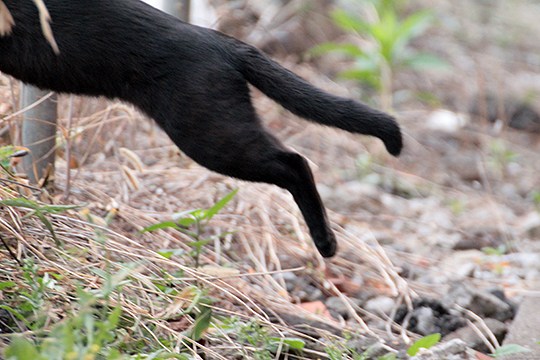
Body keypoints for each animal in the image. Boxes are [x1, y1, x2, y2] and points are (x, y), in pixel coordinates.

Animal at [0, 0, 400, 258]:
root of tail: (221, 42)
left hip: (208, 133)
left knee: (294, 163)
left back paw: (326, 243)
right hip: (222, 125)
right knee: (289, 157)